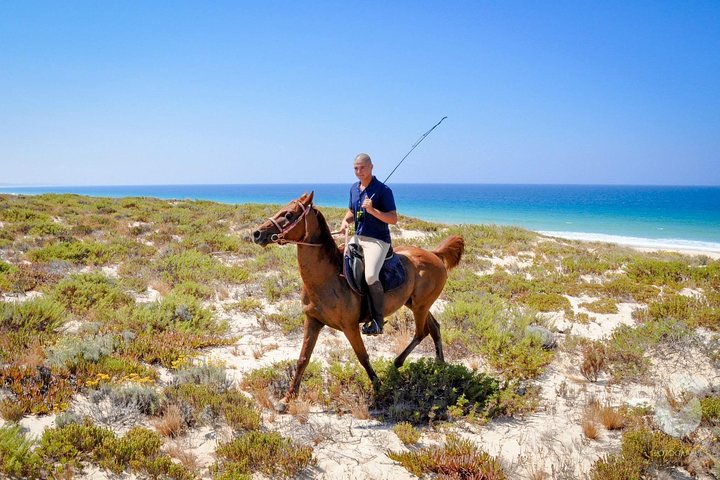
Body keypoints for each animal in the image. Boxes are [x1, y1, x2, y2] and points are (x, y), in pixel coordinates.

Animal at [251, 192, 464, 411]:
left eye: (289, 215)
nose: (257, 234)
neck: (326, 278)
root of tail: (434, 254)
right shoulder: (312, 321)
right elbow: (303, 358)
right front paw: (287, 399)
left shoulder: (350, 326)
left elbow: (362, 356)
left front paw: (379, 389)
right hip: (416, 304)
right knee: (434, 328)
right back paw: (439, 366)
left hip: (420, 307)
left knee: (421, 333)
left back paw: (398, 363)